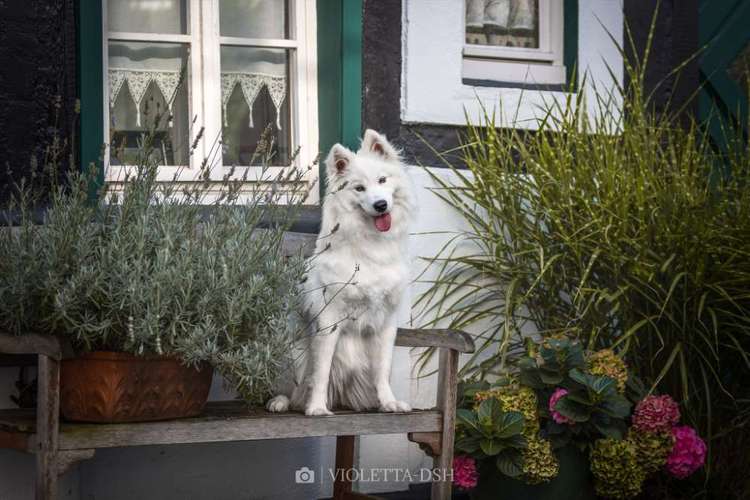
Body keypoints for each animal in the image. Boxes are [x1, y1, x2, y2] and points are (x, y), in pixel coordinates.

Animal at [266, 128, 420, 414]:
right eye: (359, 188)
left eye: (382, 180)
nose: (381, 205)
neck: (371, 250)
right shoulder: (329, 321)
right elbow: (321, 372)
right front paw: (317, 408)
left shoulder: (386, 323)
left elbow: (382, 370)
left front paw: (389, 402)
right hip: (293, 351)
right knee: (291, 386)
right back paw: (282, 402)